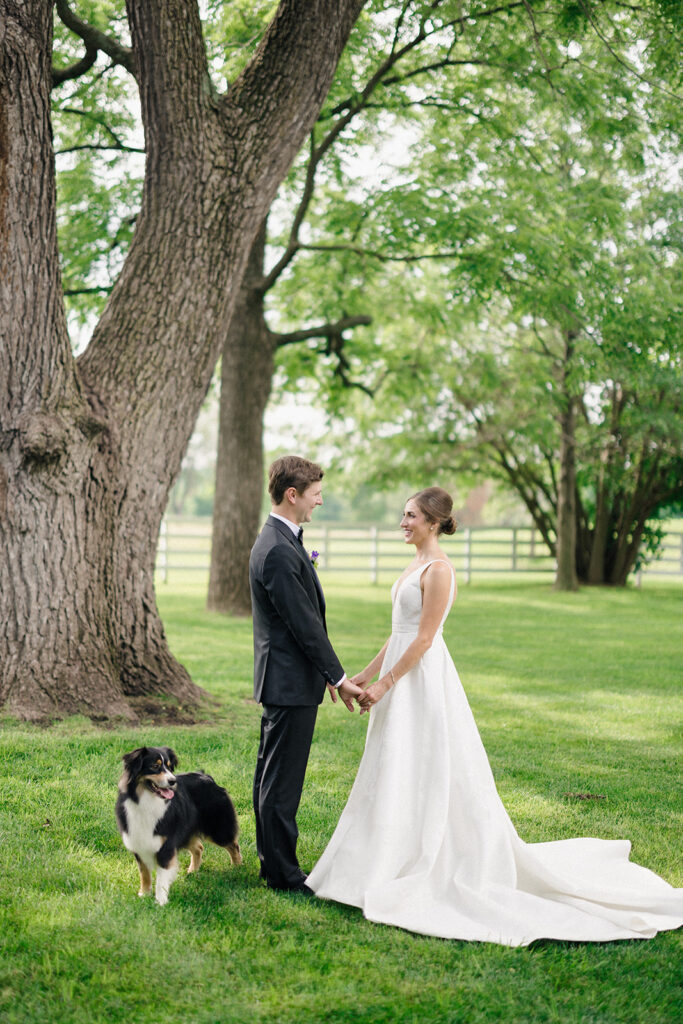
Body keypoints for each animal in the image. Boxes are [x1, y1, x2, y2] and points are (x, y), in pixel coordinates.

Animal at [116, 745, 242, 905]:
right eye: (155, 766)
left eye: (170, 767)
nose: (173, 781)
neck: (147, 800)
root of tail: (207, 777)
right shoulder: (138, 842)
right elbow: (144, 873)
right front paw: (144, 894)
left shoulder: (166, 845)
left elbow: (162, 877)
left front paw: (160, 902)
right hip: (186, 831)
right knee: (199, 847)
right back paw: (193, 871)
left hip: (217, 829)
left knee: (233, 845)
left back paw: (237, 868)